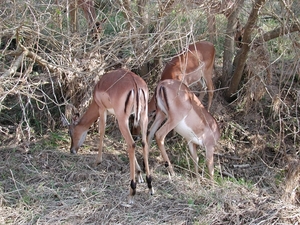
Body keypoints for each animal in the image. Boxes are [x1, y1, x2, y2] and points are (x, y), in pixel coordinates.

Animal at [68, 68, 155, 202]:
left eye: (70, 132)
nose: (72, 150)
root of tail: (135, 84)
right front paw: (139, 173)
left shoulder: (102, 109)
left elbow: (102, 132)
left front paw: (97, 162)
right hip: (142, 117)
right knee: (143, 143)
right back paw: (150, 186)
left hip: (123, 118)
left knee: (132, 144)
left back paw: (132, 191)